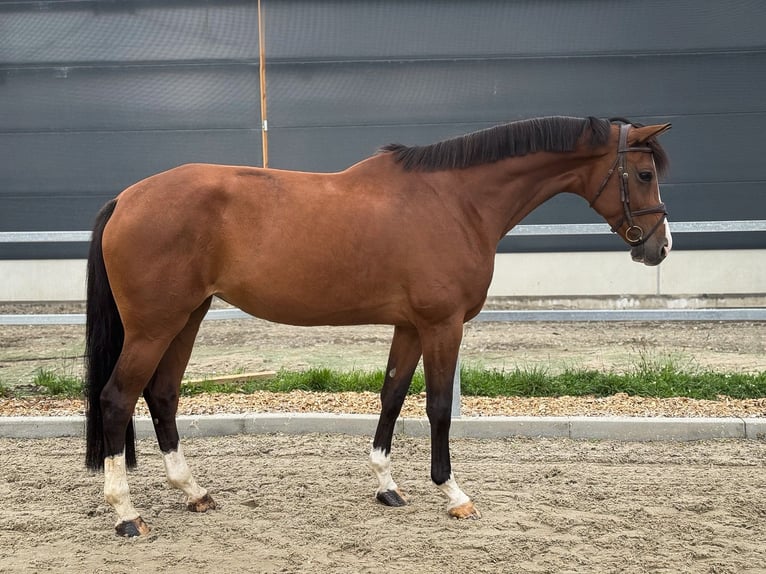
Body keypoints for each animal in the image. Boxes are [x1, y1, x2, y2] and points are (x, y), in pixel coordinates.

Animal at [82, 115, 672, 536]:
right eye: (644, 174)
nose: (658, 248)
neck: (456, 201)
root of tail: (126, 198)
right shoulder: (442, 326)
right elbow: (437, 408)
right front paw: (453, 495)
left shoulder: (410, 327)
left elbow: (391, 395)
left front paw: (387, 486)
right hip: (155, 327)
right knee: (117, 399)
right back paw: (126, 514)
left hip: (187, 318)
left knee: (162, 394)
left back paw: (194, 492)